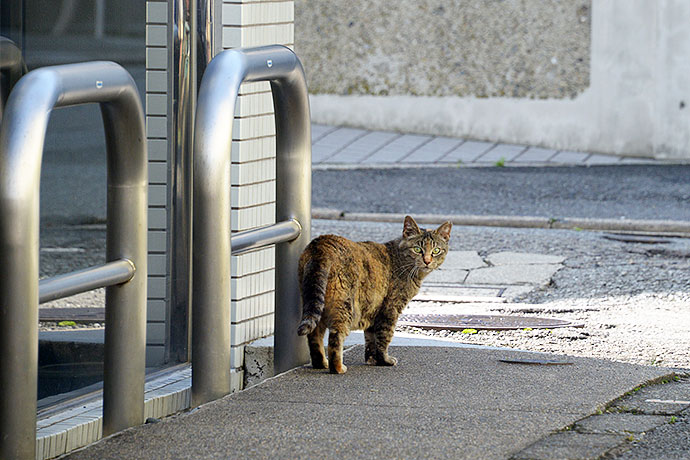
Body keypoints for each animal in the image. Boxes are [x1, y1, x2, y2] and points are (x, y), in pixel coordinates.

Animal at [296, 217, 452, 374]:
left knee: (314, 336)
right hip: (344, 306)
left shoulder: (372, 308)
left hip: (315, 301)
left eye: (436, 250)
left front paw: (372, 360)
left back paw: (321, 363)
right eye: (417, 249)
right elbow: (384, 337)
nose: (427, 261)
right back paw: (338, 367)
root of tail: (322, 244)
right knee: (335, 337)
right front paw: (385, 361)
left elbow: (371, 339)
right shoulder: (390, 309)